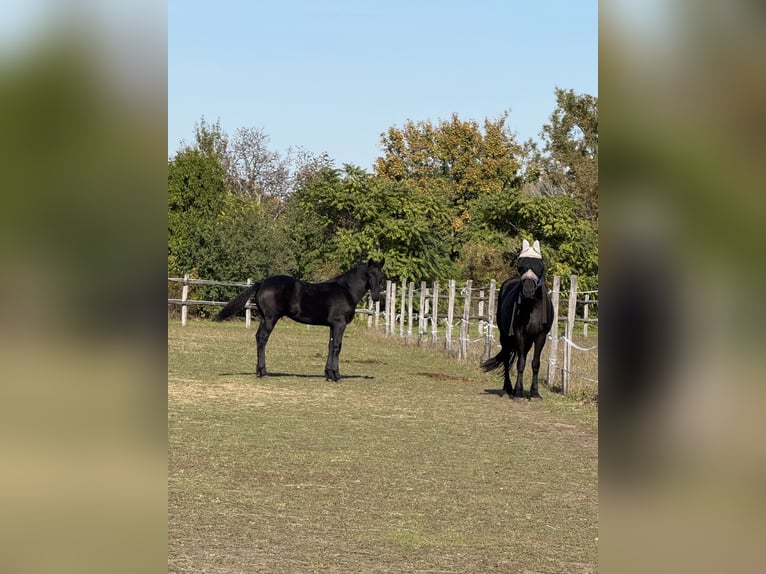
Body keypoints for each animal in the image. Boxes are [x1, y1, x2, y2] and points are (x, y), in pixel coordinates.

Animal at [214, 259, 386, 381]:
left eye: (382, 277)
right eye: (369, 275)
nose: (376, 296)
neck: (345, 291)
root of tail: (262, 283)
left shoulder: (332, 326)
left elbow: (330, 346)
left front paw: (328, 374)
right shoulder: (340, 324)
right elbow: (337, 347)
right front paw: (337, 376)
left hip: (264, 318)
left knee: (258, 338)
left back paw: (259, 371)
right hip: (270, 318)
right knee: (262, 338)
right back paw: (263, 372)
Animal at [481, 240, 554, 400]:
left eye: (540, 266)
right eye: (520, 265)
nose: (528, 291)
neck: (532, 307)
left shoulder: (540, 336)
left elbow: (535, 363)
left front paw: (535, 392)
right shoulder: (519, 334)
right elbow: (520, 362)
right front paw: (519, 392)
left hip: (527, 341)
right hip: (505, 337)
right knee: (507, 358)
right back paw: (509, 388)